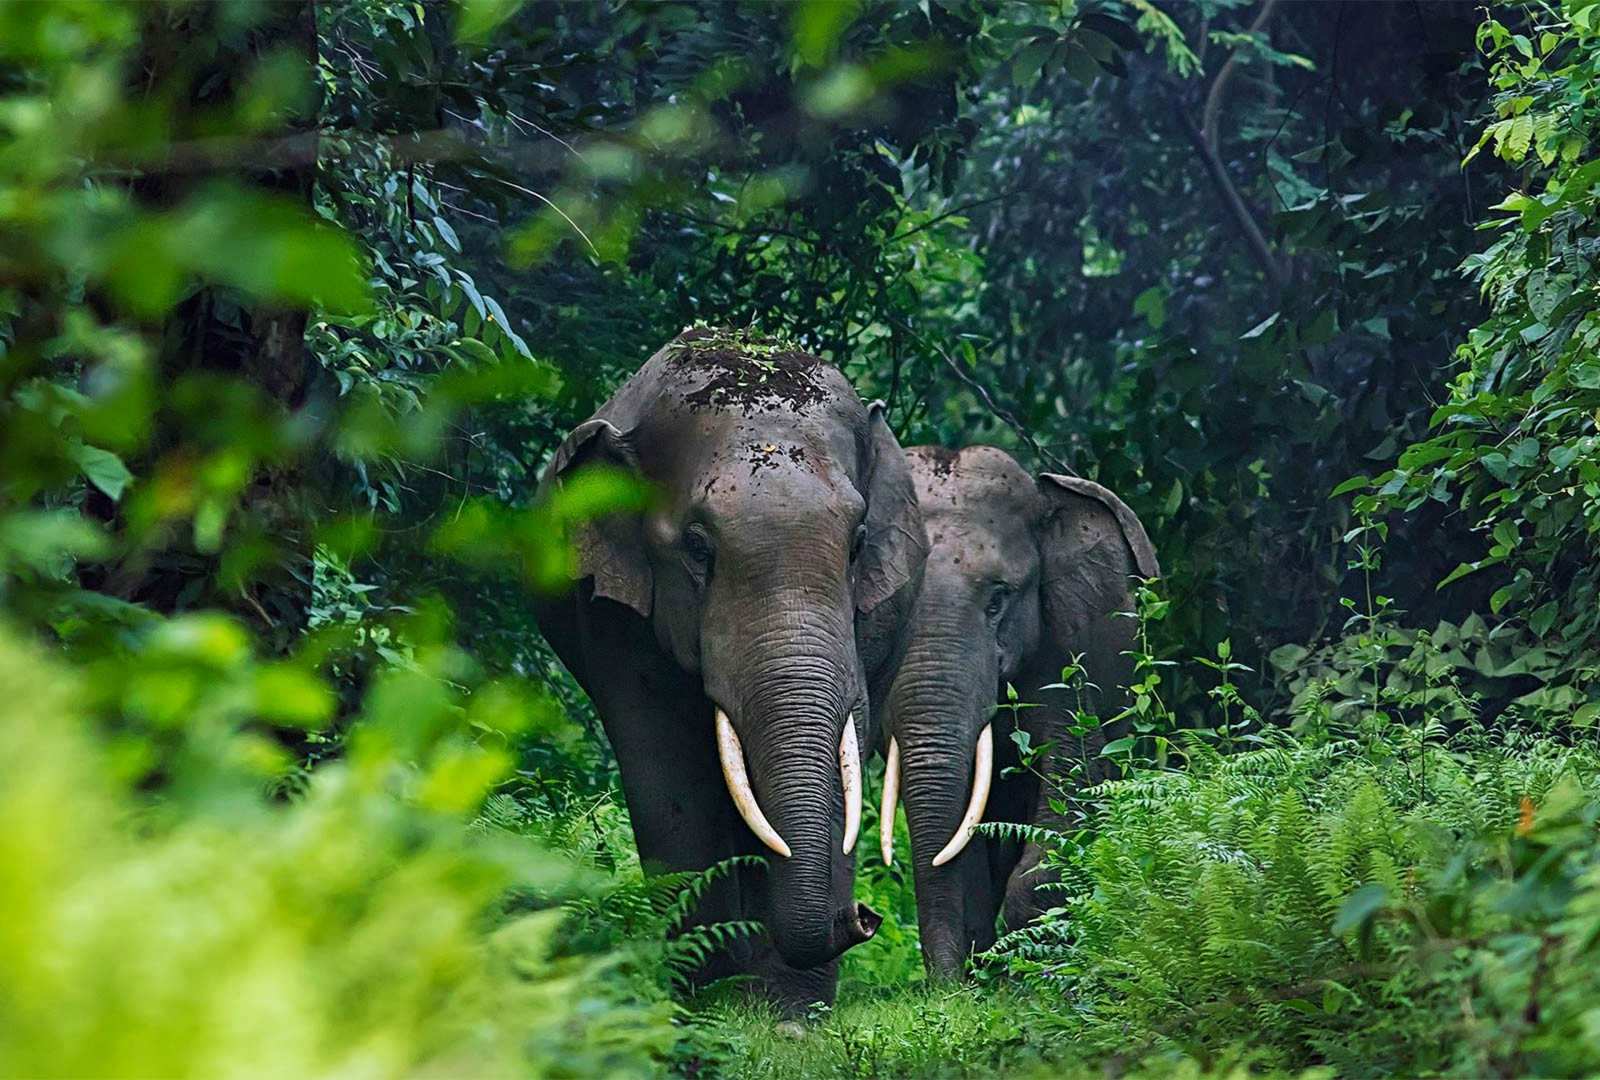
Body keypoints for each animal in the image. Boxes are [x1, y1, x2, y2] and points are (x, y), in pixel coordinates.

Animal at [534, 328, 928, 1011]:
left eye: (857, 543)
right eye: (697, 548)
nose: (862, 917)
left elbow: (842, 756)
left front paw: (790, 1015)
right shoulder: (612, 619)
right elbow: (669, 772)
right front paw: (708, 1000)